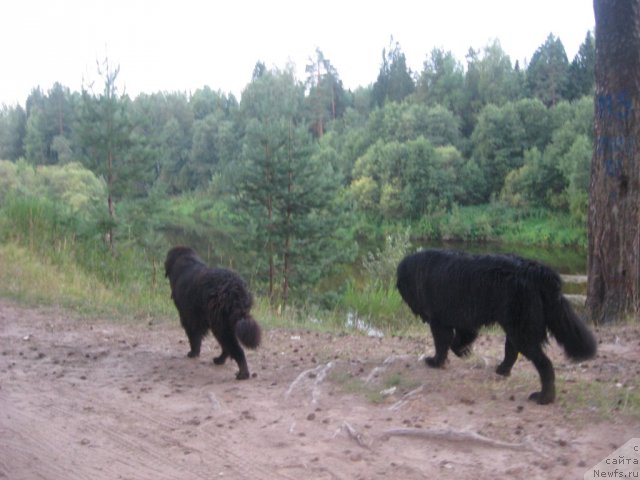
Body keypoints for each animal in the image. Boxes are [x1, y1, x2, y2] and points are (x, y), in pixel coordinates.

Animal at [166, 248, 264, 378]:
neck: (187, 261)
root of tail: (235, 289)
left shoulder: (188, 318)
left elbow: (194, 338)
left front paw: (193, 353)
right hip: (226, 324)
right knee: (228, 348)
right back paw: (220, 360)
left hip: (220, 326)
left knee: (236, 349)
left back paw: (242, 374)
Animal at [398, 249, 596, 404]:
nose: (418, 314)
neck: (421, 270)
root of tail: (538, 271)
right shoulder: (465, 322)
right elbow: (457, 342)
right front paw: (464, 352)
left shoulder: (440, 322)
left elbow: (442, 344)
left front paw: (436, 361)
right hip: (516, 327)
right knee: (511, 352)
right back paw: (503, 370)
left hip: (521, 331)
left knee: (544, 363)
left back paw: (544, 397)